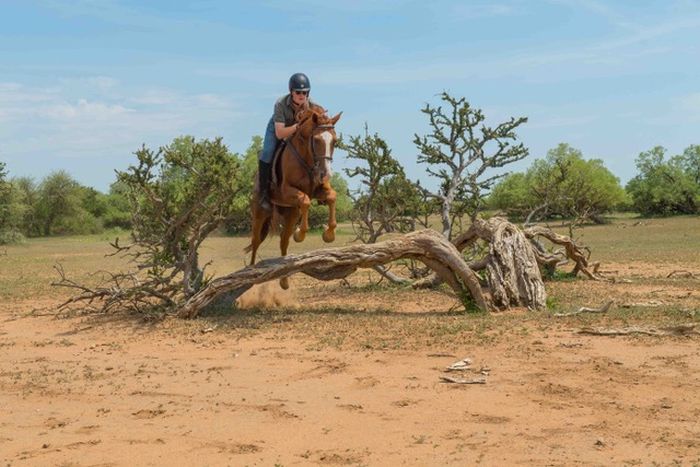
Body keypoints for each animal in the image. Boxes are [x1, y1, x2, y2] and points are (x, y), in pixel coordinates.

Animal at [246, 106, 342, 288]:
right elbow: (305, 200)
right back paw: (252, 273)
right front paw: (300, 234)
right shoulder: (286, 191)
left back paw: (284, 280)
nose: (326, 174)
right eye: (316, 140)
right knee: (255, 241)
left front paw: (329, 235)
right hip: (259, 214)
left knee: (284, 242)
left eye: (335, 141)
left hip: (290, 213)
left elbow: (332, 197)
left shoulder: (318, 190)